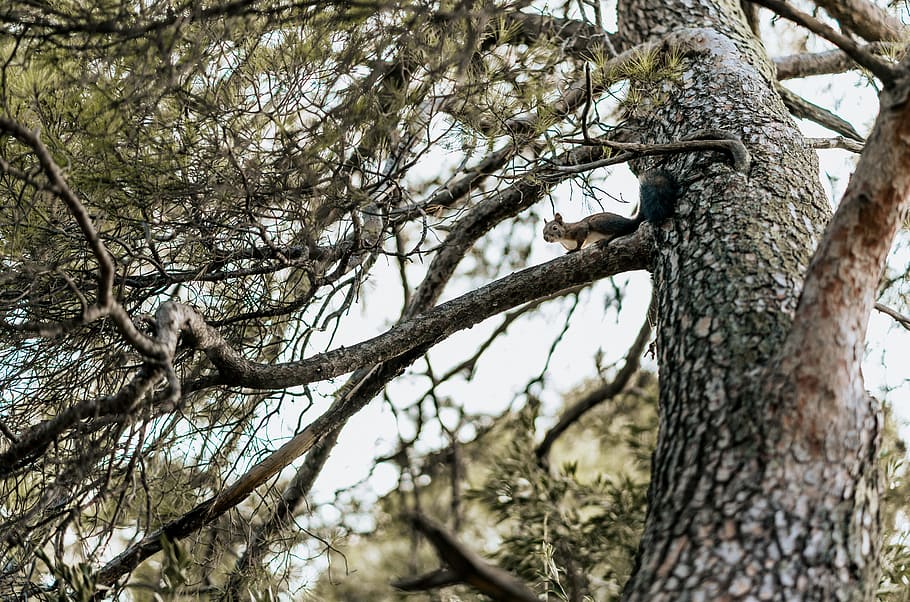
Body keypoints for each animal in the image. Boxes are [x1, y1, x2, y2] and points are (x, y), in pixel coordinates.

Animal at [543, 169, 678, 252]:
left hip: (598, 222)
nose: (546, 238)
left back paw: (608, 239)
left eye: (554, 228)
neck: (564, 237)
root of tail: (629, 221)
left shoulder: (579, 228)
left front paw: (576, 249)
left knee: (623, 229)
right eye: (542, 231)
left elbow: (581, 239)